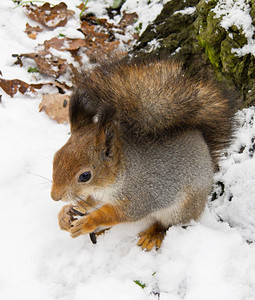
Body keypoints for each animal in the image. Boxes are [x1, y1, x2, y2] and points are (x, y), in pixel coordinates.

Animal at [50, 58, 238, 251]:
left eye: (85, 176)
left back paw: (152, 235)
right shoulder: (97, 194)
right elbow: (89, 202)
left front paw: (90, 221)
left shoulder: (140, 196)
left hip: (181, 207)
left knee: (167, 224)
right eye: (55, 158)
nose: (55, 197)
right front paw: (66, 213)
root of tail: (206, 151)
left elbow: (119, 213)